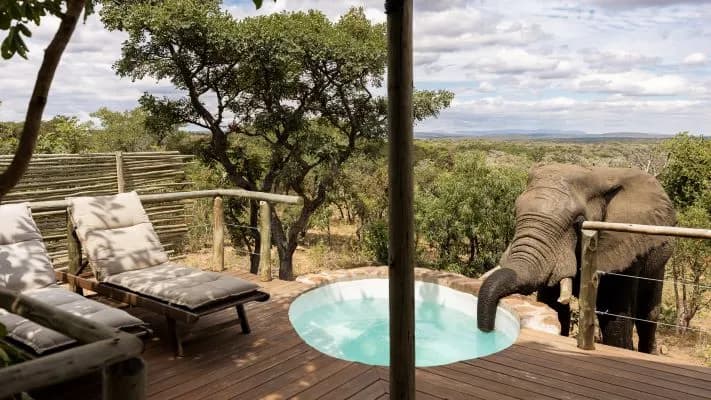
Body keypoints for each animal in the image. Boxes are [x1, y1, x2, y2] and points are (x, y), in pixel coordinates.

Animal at [477, 163, 676, 353]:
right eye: (515, 212)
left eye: (578, 222)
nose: (487, 330)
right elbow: (553, 305)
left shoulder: (626, 245)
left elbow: (616, 317)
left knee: (648, 316)